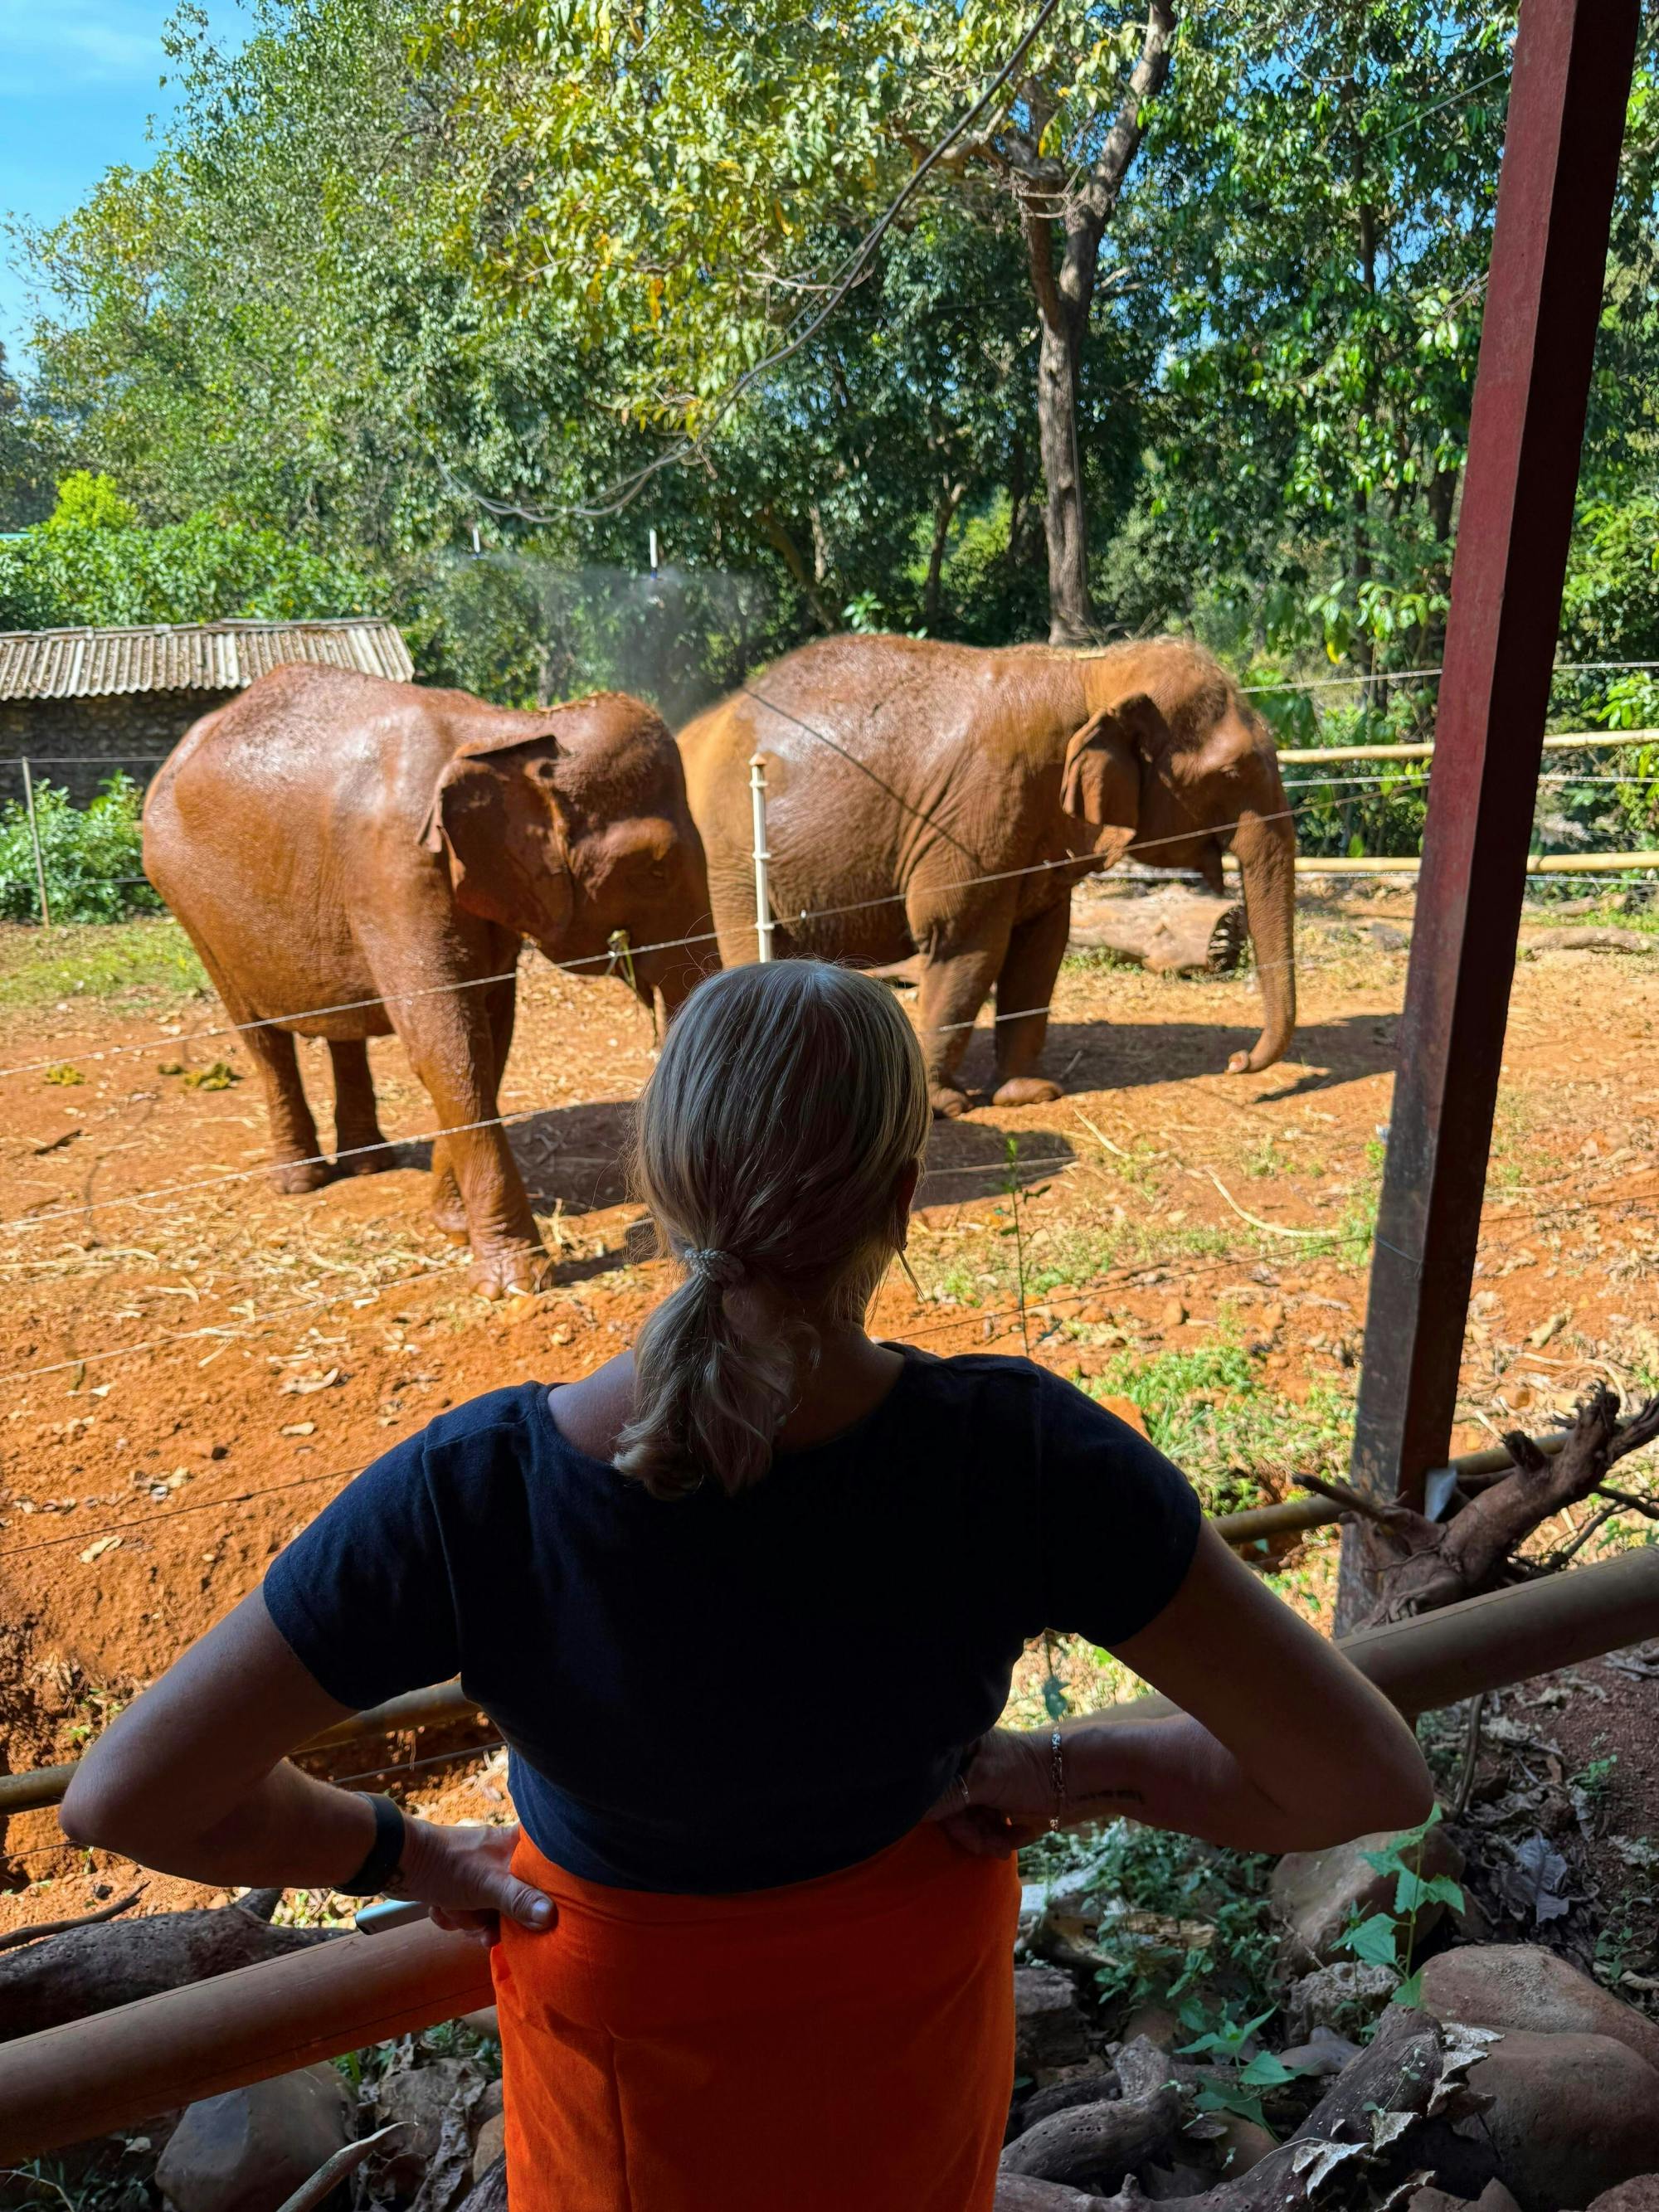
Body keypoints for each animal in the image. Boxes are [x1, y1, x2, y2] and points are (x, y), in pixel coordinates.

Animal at [144, 664, 713, 1293]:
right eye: (656, 869)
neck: (508, 730)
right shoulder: (394, 872)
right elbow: (448, 1045)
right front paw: (517, 1282)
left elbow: (489, 1030)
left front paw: (454, 1226)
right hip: (188, 901)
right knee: (261, 1037)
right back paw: (301, 1181)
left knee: (342, 1029)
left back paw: (370, 1162)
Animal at [677, 634, 1295, 1116]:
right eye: (1233, 772)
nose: (1237, 1061)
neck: (1093, 671)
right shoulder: (975, 814)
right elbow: (966, 944)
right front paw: (945, 1107)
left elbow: (1042, 948)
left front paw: (1029, 1094)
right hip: (732, 856)